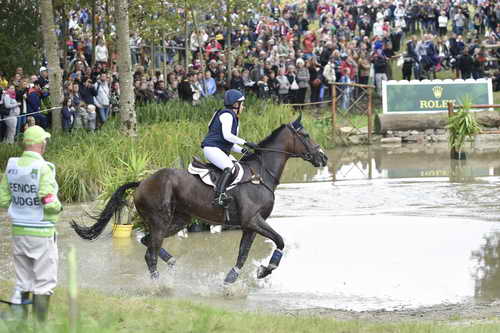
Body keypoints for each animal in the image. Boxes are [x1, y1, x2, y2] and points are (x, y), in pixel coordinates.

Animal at [70, 114, 328, 282]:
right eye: (305, 135)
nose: (323, 157)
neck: (261, 173)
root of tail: (142, 182)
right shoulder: (253, 221)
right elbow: (280, 241)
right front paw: (267, 268)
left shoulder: (250, 226)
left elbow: (243, 255)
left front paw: (231, 280)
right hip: (160, 220)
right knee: (150, 253)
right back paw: (159, 285)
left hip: (179, 220)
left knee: (148, 243)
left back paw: (172, 264)